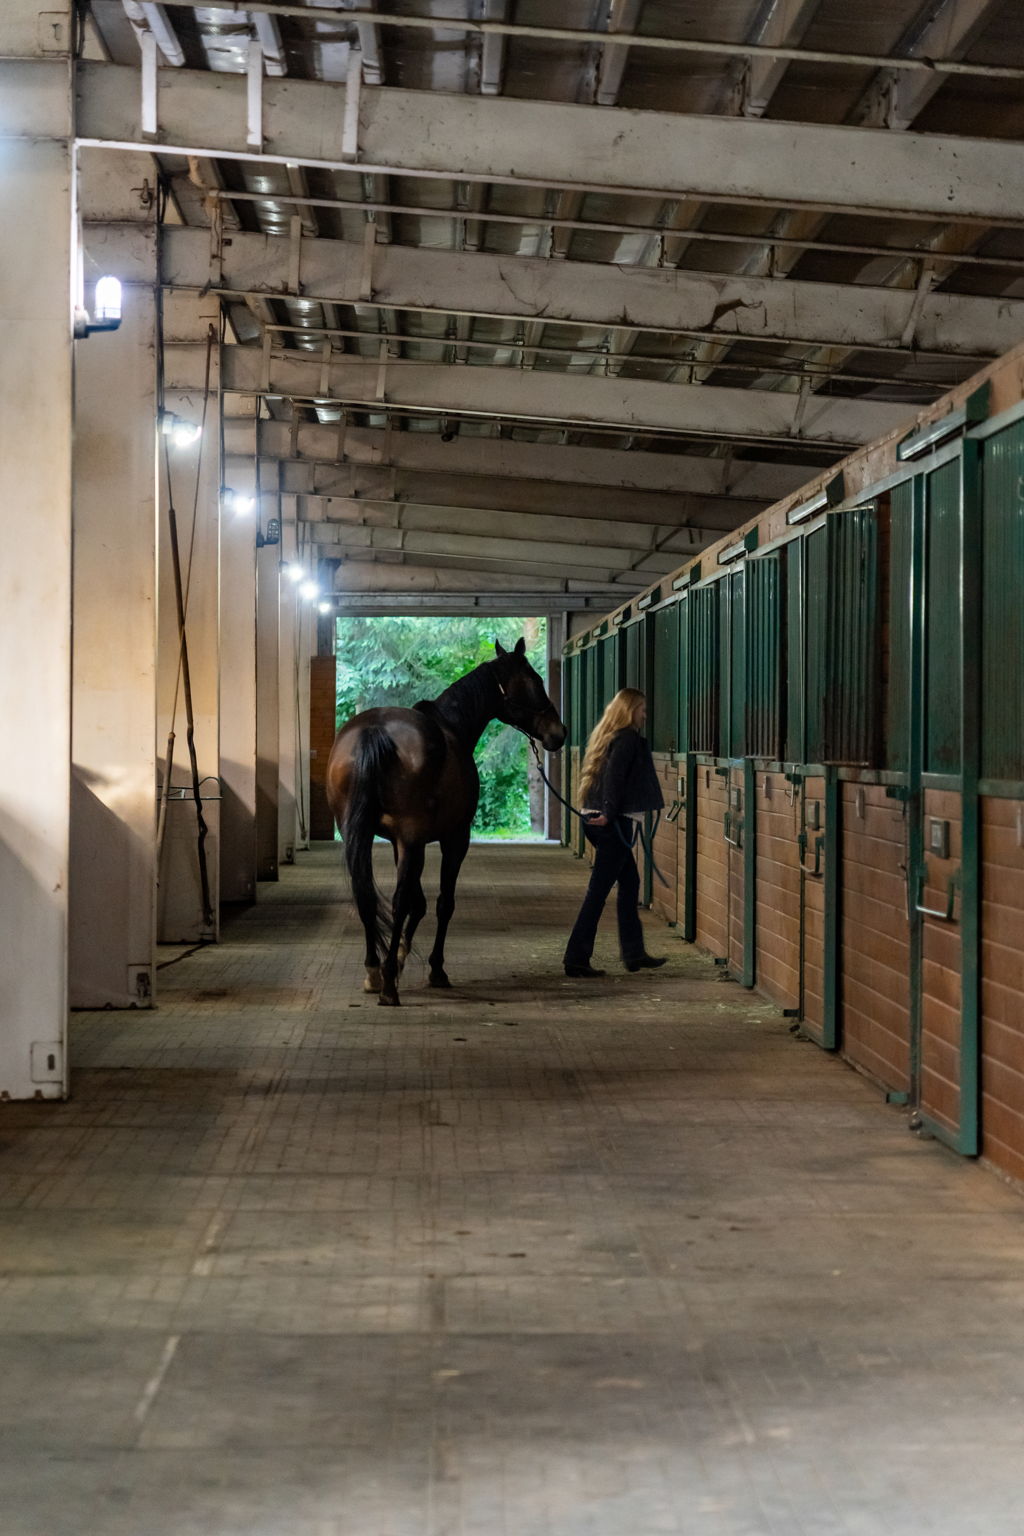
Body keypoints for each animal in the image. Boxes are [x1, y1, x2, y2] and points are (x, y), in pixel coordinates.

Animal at [326, 637, 566, 1007]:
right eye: (536, 680)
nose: (559, 732)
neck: (451, 728)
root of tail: (374, 731)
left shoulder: (401, 841)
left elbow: (418, 902)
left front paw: (397, 958)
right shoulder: (453, 839)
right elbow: (441, 903)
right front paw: (434, 969)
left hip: (361, 834)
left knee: (363, 893)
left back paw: (373, 971)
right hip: (413, 840)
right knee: (397, 900)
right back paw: (389, 987)